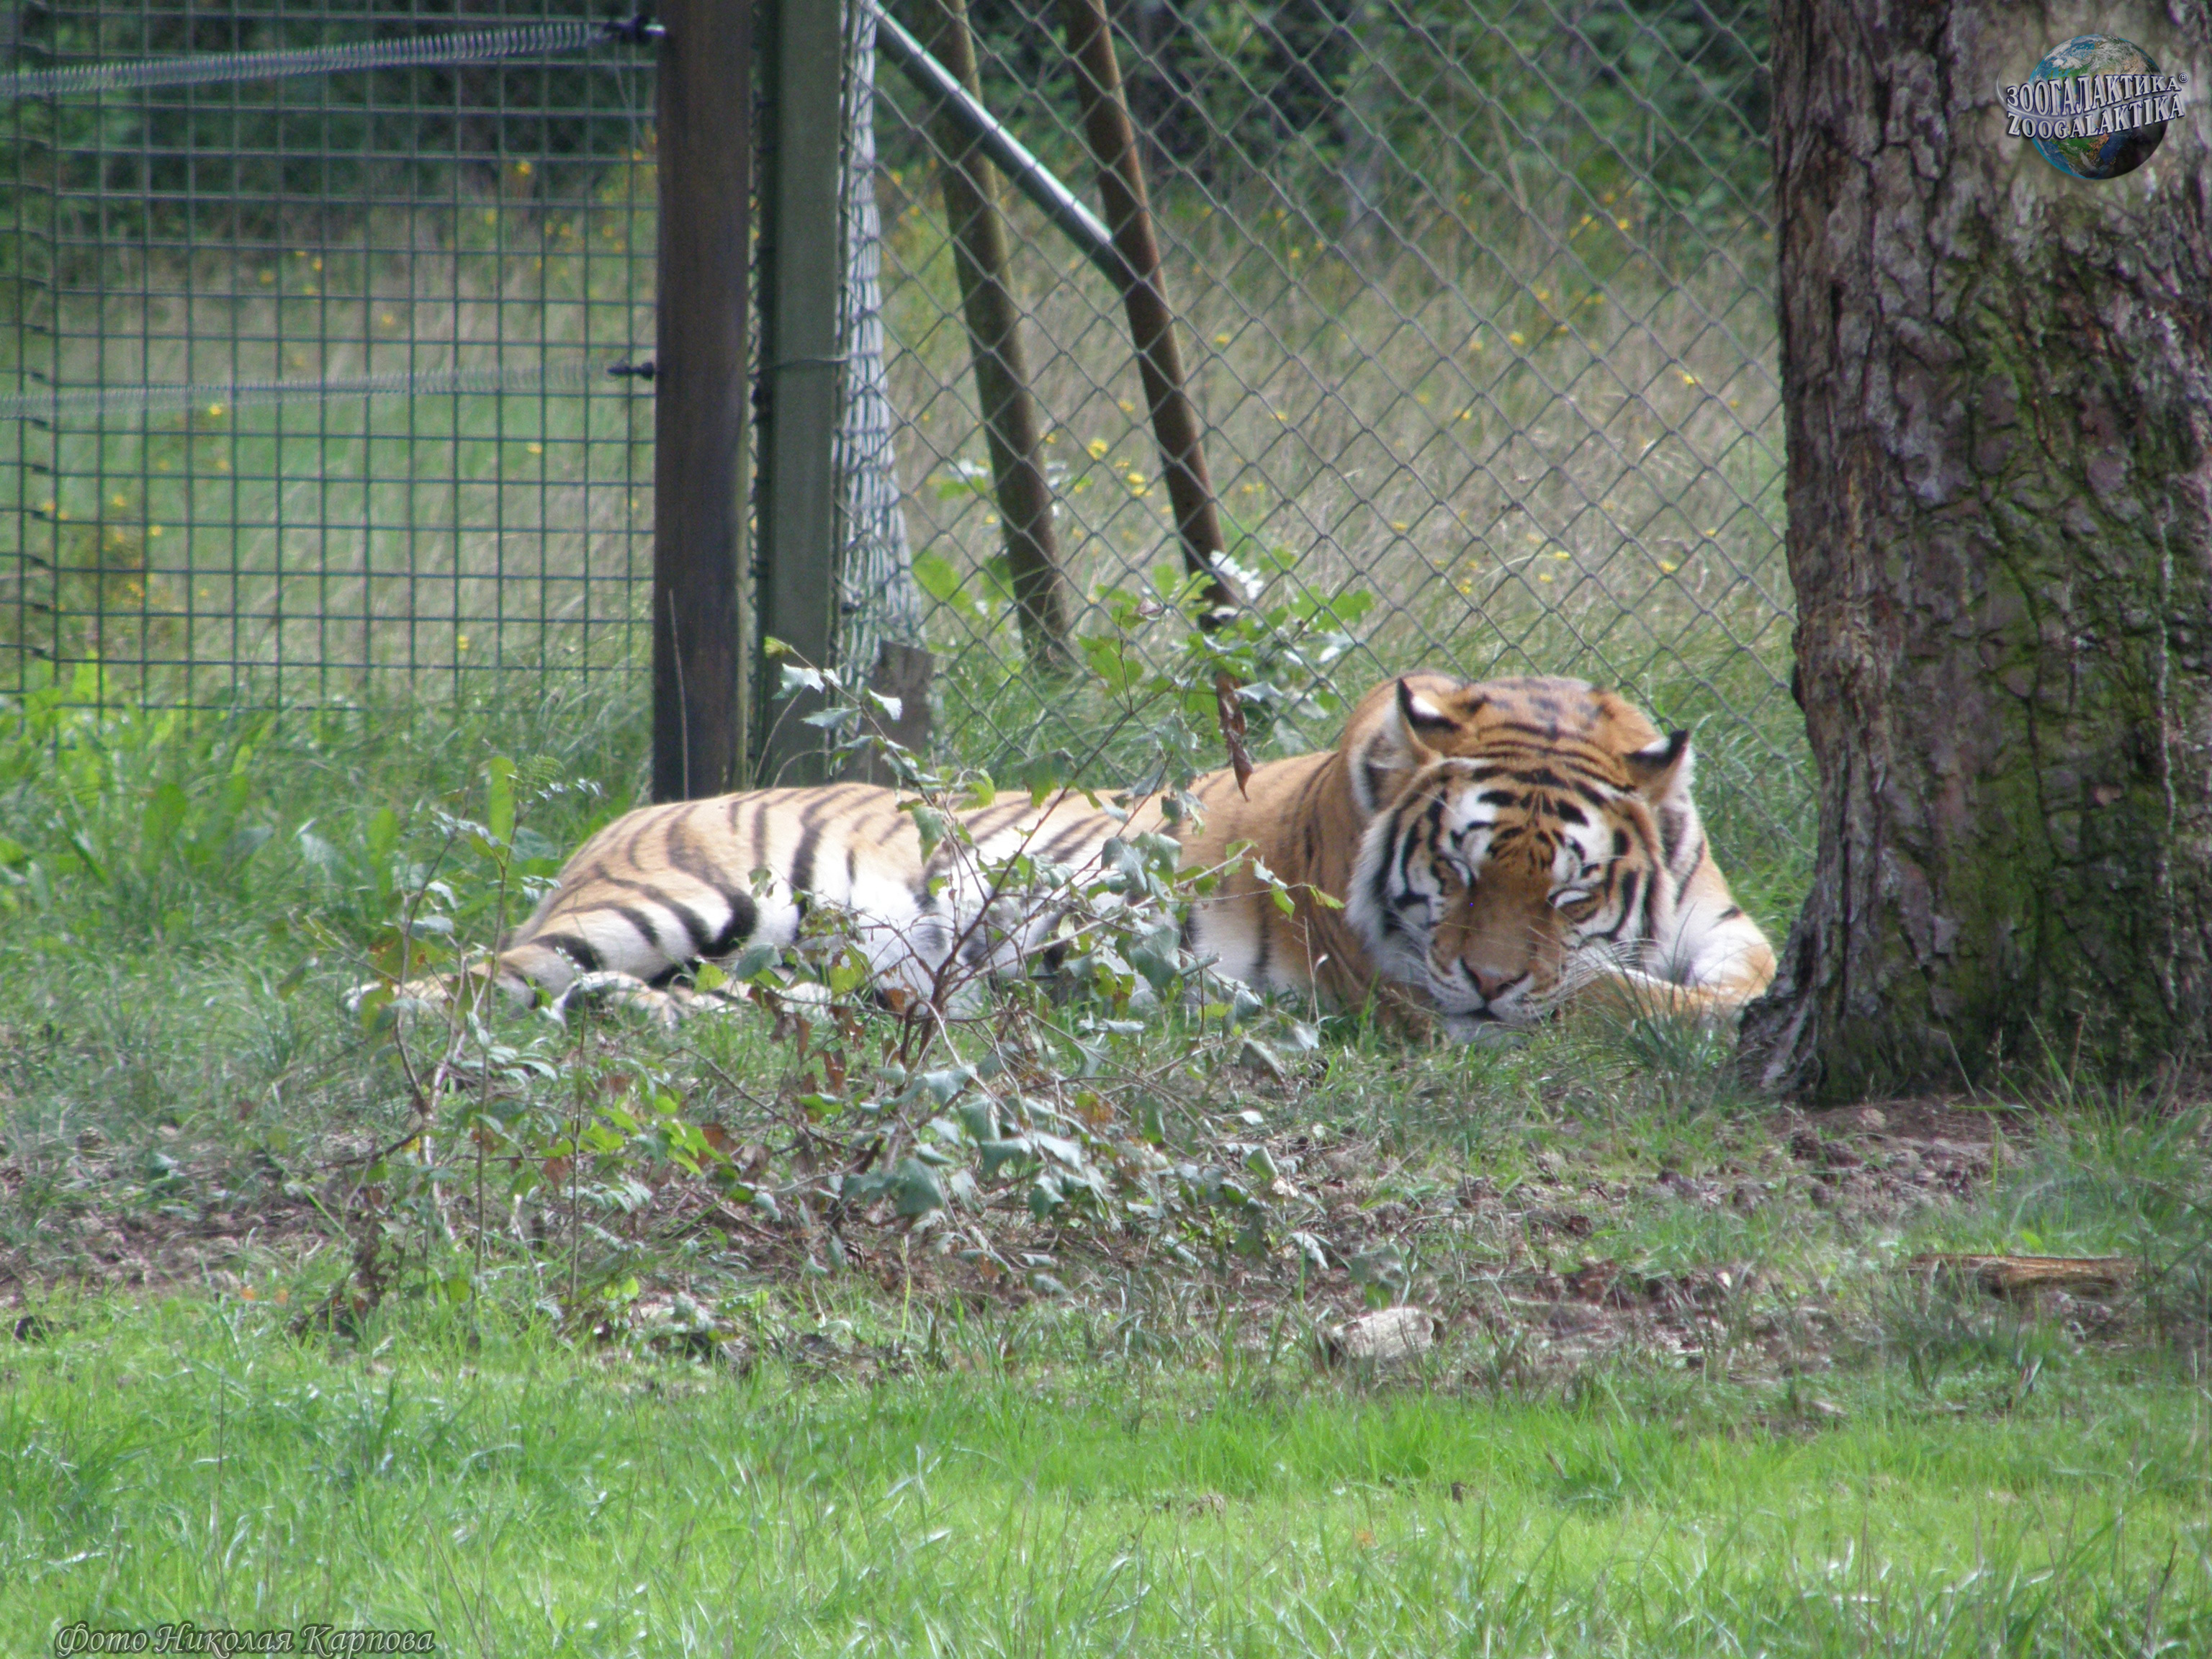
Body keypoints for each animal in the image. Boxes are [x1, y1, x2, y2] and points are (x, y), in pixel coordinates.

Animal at [418, 673, 1772, 1036]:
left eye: (1571, 888)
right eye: (1458, 871)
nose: (1487, 982)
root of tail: (628, 815)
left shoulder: (1726, 920)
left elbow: (1729, 980)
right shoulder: (1394, 986)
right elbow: (1611, 999)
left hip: (809, 968)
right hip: (679, 900)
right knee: (444, 986)